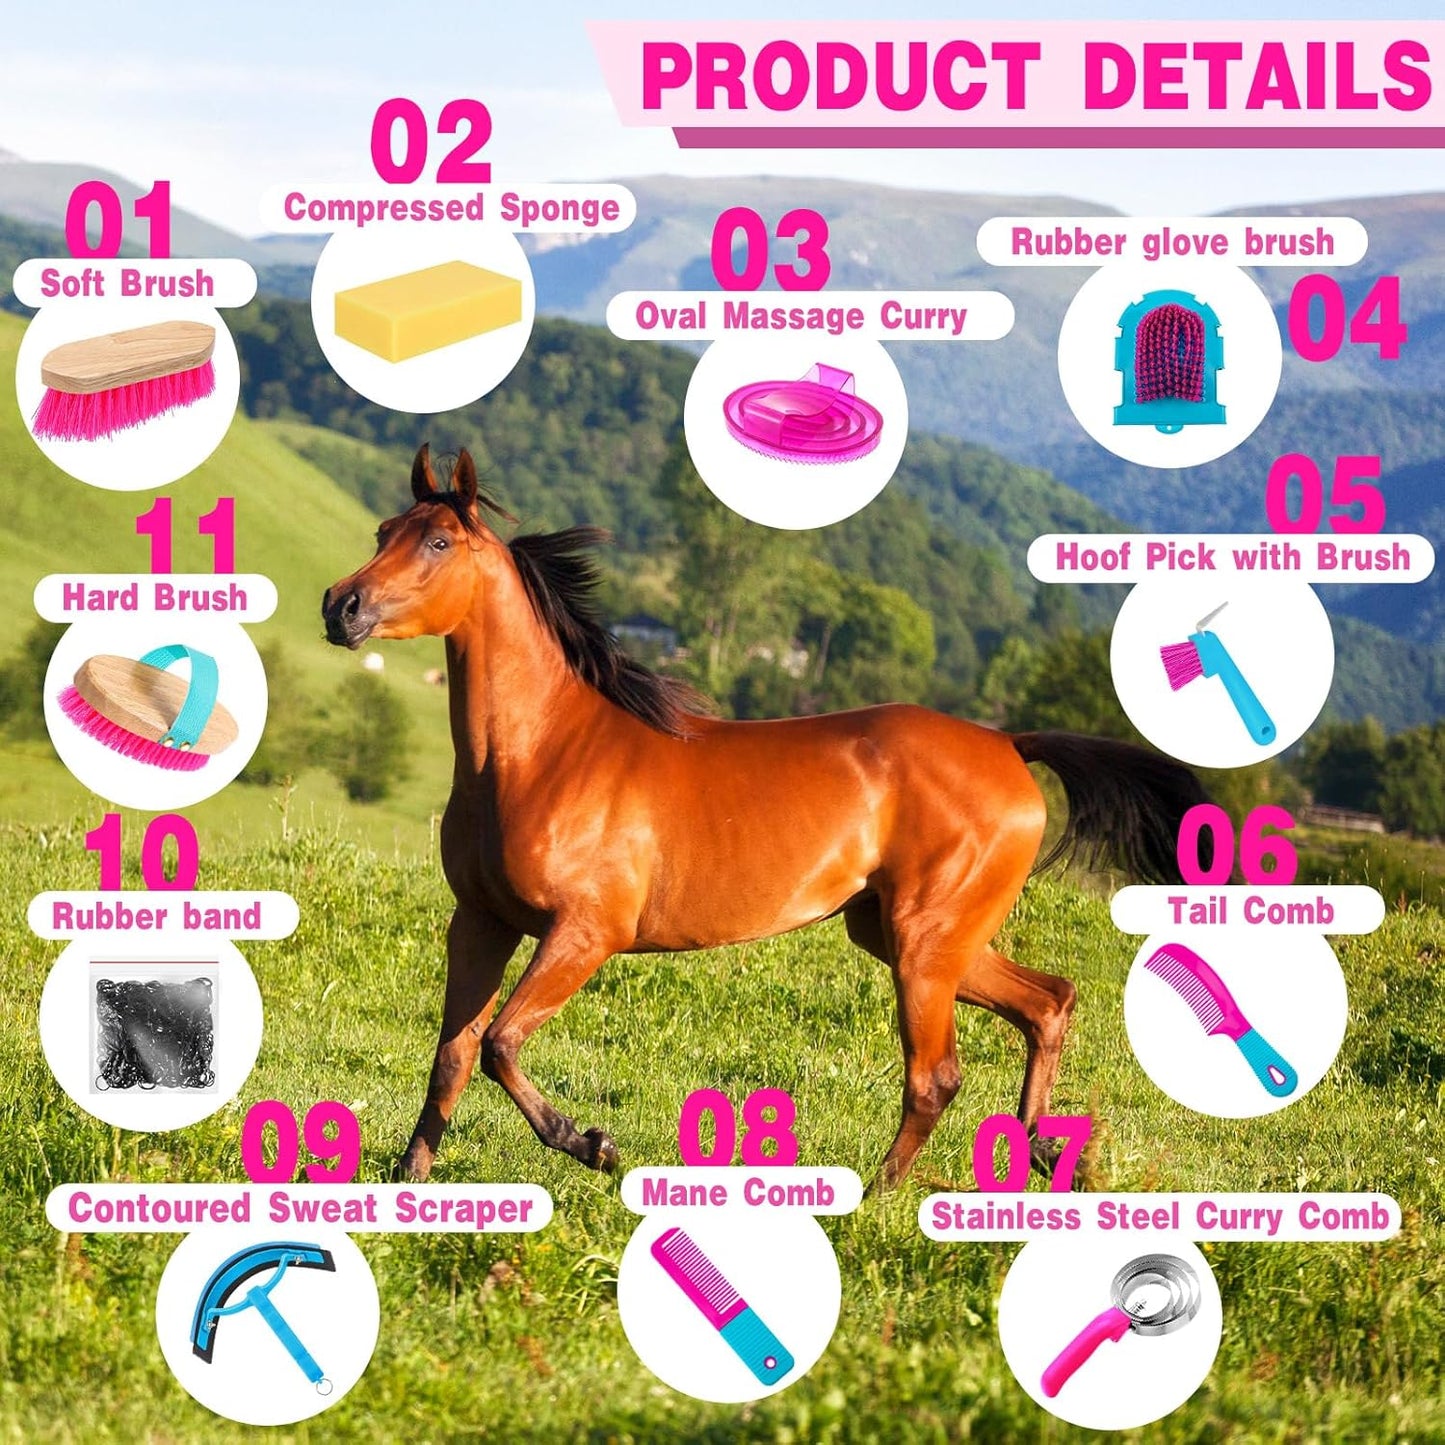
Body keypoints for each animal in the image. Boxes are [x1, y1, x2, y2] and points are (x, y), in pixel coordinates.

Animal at [322, 445, 1204, 1189]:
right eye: (383, 531)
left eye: (439, 542)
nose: (341, 605)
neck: (543, 753)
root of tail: (1006, 745)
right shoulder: (480, 920)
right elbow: (453, 1051)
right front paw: (409, 1179)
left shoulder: (584, 931)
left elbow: (500, 1043)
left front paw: (593, 1144)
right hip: (914, 935)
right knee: (1047, 1002)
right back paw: (1042, 1154)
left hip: (924, 942)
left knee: (935, 1077)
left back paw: (879, 1196)